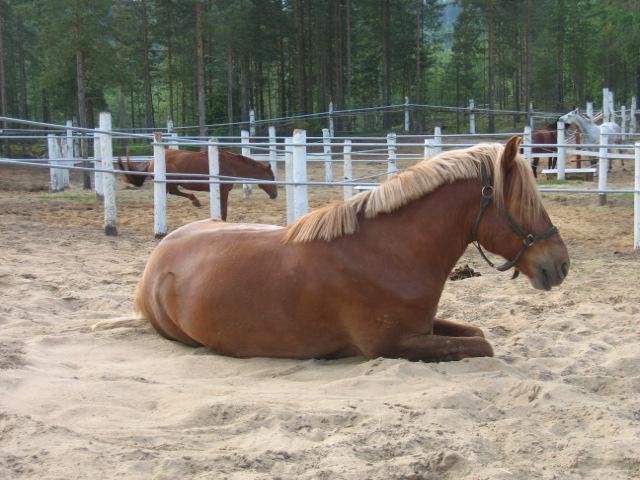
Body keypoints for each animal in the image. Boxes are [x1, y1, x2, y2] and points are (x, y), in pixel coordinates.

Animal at [118, 149, 277, 221]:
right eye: (272, 177)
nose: (275, 195)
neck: (229, 165)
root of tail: (152, 161)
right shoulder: (223, 191)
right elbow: (224, 212)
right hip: (172, 182)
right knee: (175, 192)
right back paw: (196, 201)